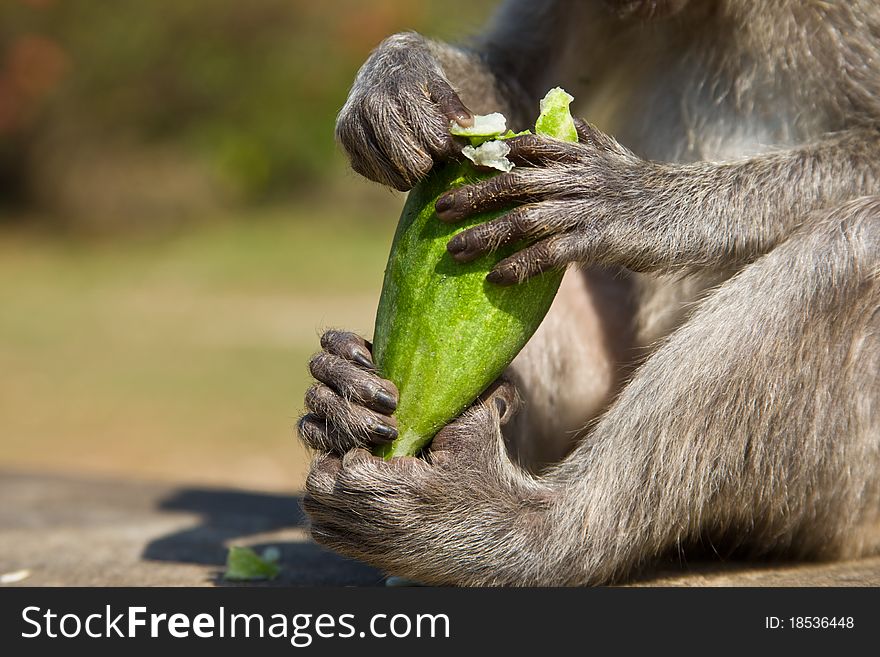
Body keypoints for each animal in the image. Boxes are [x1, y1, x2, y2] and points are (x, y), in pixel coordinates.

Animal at [298, 0, 880, 584]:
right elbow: (516, 77)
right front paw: (398, 72)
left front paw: (633, 201)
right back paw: (348, 401)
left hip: (842, 503)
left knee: (850, 246)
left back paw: (531, 530)